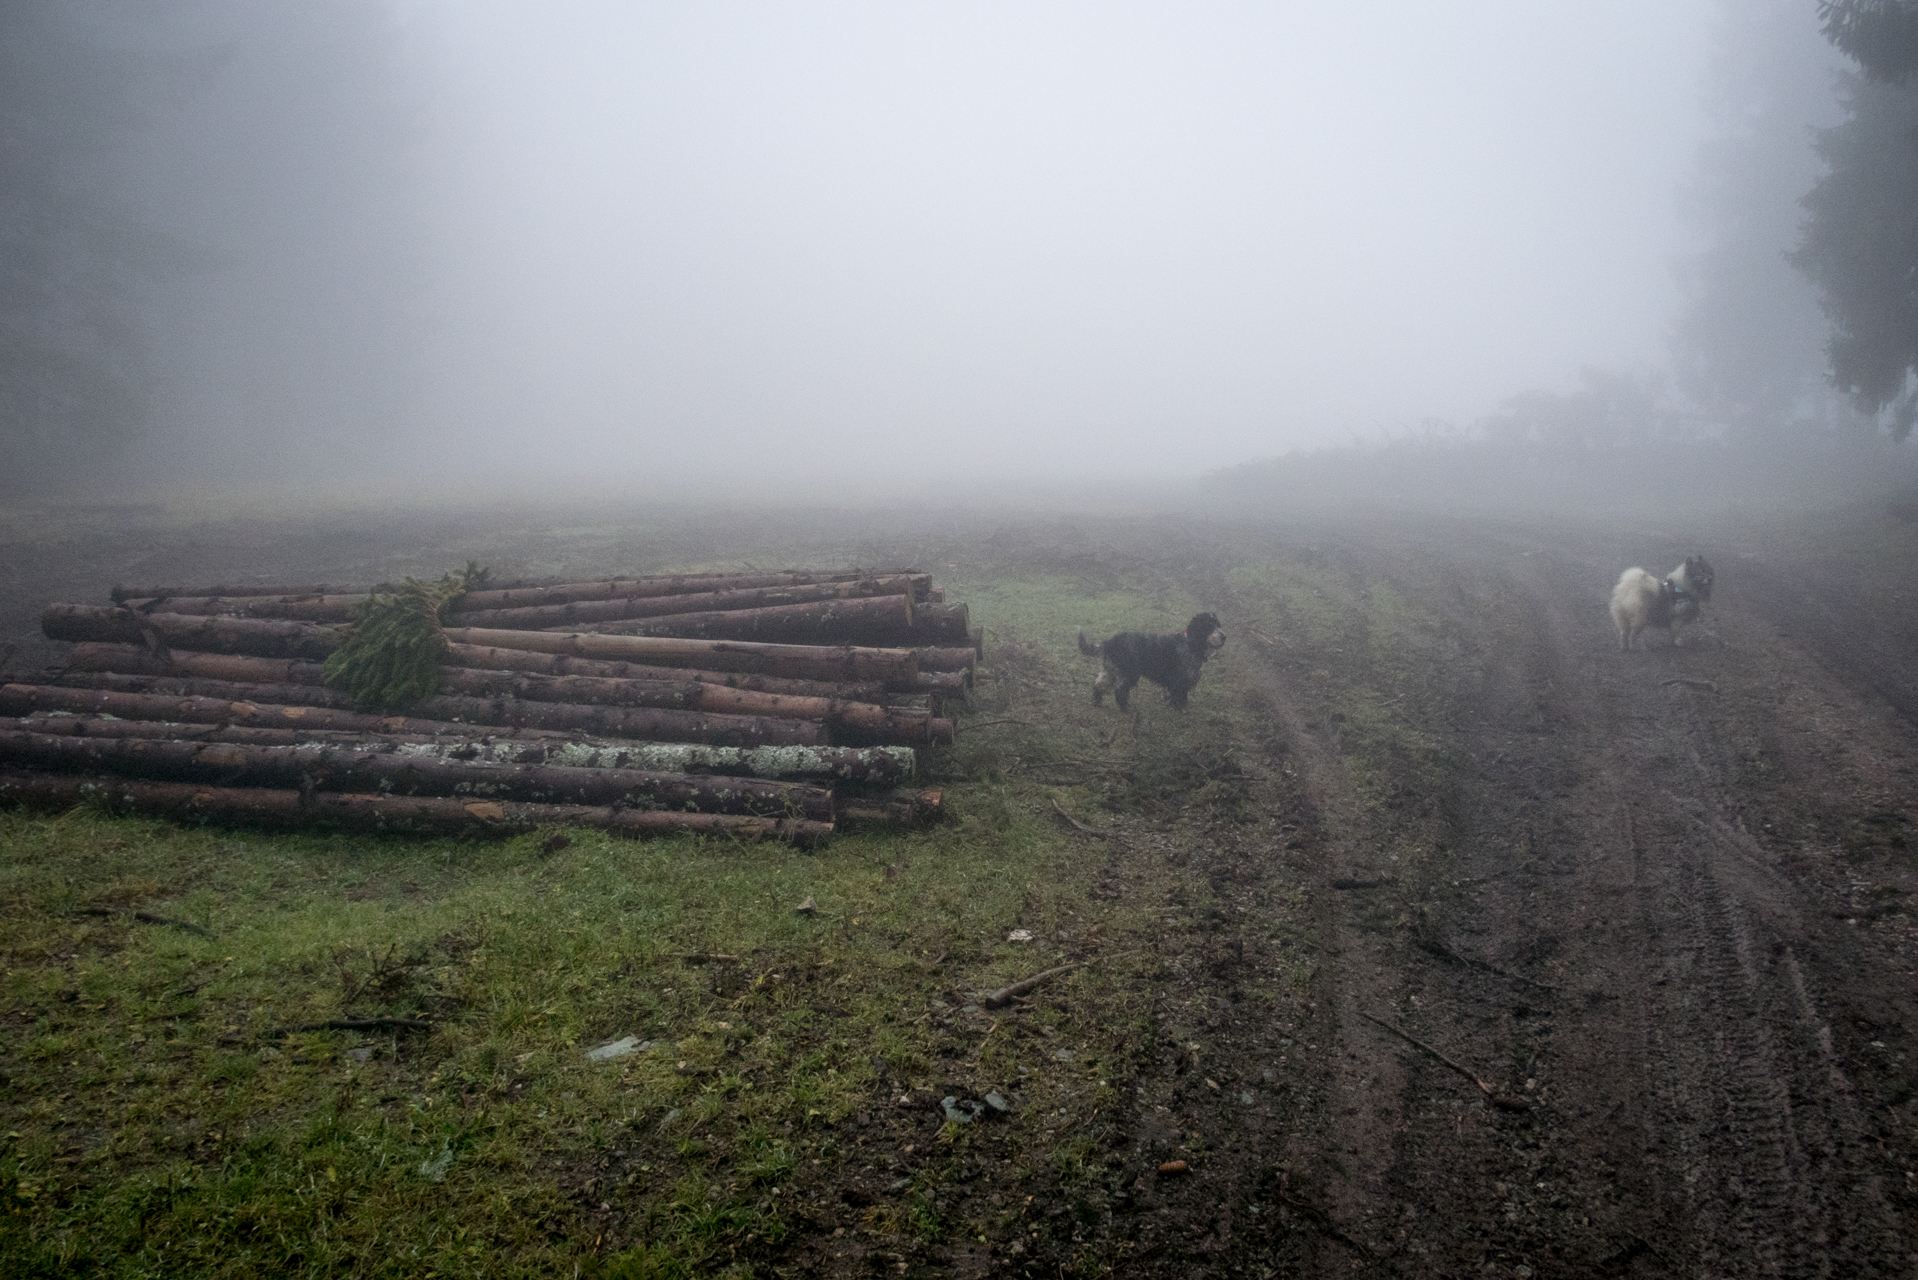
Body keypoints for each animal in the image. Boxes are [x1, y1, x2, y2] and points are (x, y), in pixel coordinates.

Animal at [1081, 614, 1227, 710]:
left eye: (1218, 625)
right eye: (1209, 626)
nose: (1224, 636)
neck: (1190, 643)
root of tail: (1110, 642)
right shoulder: (1180, 679)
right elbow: (1179, 696)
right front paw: (1179, 709)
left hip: (1111, 669)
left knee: (1099, 685)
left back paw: (1098, 702)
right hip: (1129, 672)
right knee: (1120, 690)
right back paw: (1125, 707)